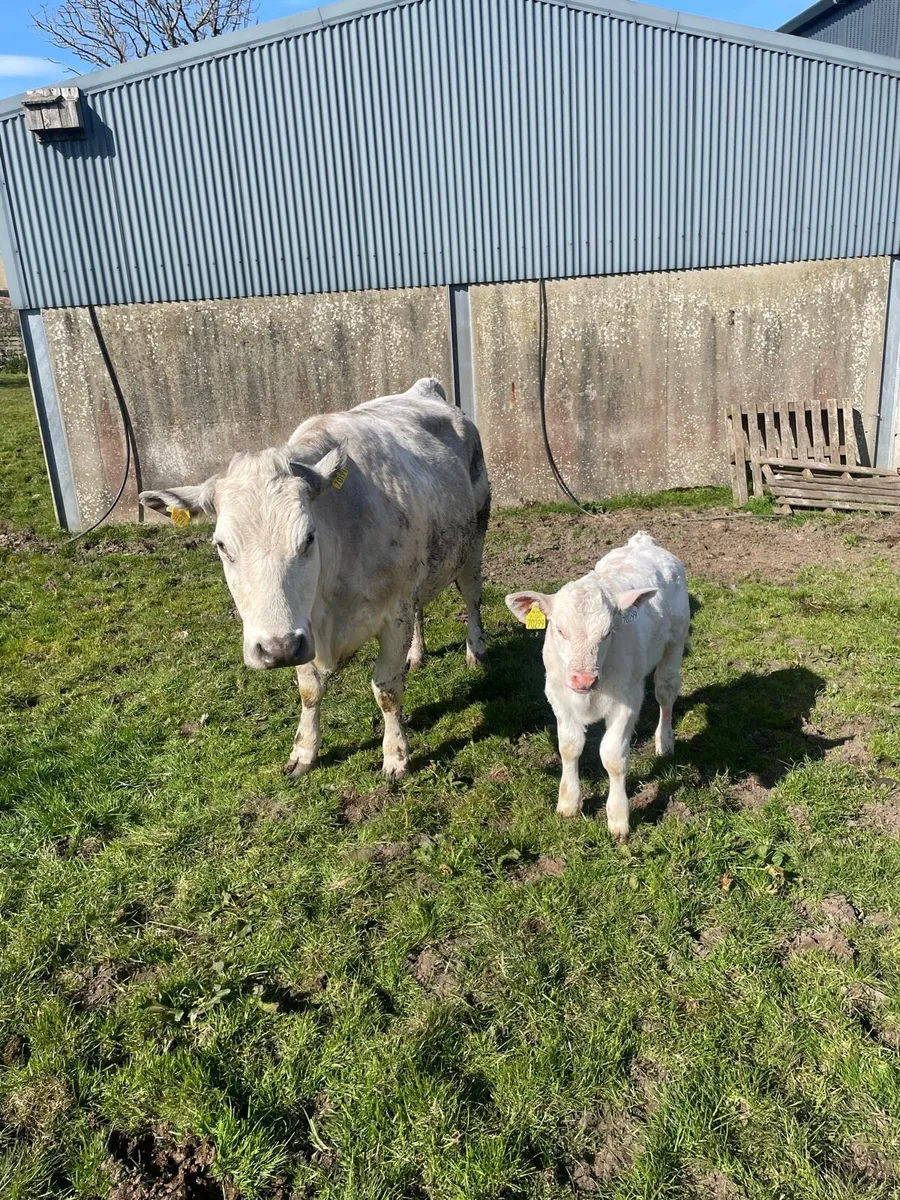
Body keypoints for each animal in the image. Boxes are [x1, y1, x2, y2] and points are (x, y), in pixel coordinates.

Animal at [139, 378, 490, 779]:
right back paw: (416, 655)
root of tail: (424, 388)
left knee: (472, 596)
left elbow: (386, 689)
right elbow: (309, 690)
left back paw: (476, 651)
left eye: (308, 537)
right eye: (221, 545)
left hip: (475, 538)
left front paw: (396, 755)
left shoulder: (394, 613)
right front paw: (304, 752)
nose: (276, 649)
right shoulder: (303, 626)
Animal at [505, 533, 690, 840]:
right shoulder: (557, 696)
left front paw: (618, 818)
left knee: (666, 692)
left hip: (675, 644)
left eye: (607, 633)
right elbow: (569, 747)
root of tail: (643, 542)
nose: (583, 679)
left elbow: (613, 757)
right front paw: (568, 802)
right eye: (559, 630)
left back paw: (664, 741)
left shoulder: (627, 701)